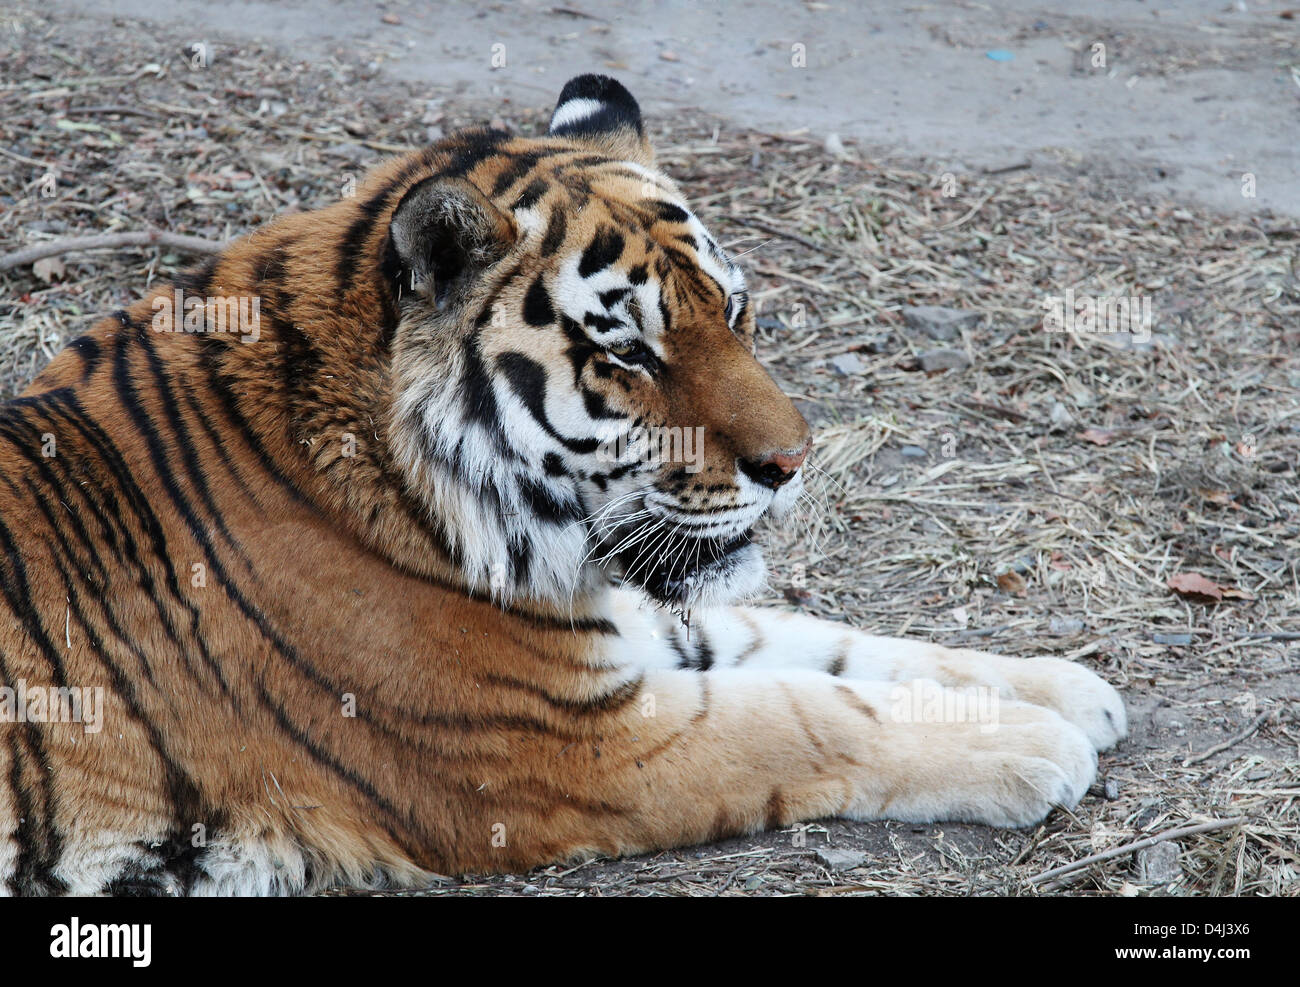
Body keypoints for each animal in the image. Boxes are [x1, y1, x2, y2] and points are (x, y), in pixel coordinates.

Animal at [0, 75, 1123, 894]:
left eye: (737, 312)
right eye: (628, 352)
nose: (792, 464)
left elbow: (829, 644)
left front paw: (1067, 687)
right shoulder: (570, 746)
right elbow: (804, 713)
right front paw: (1034, 742)